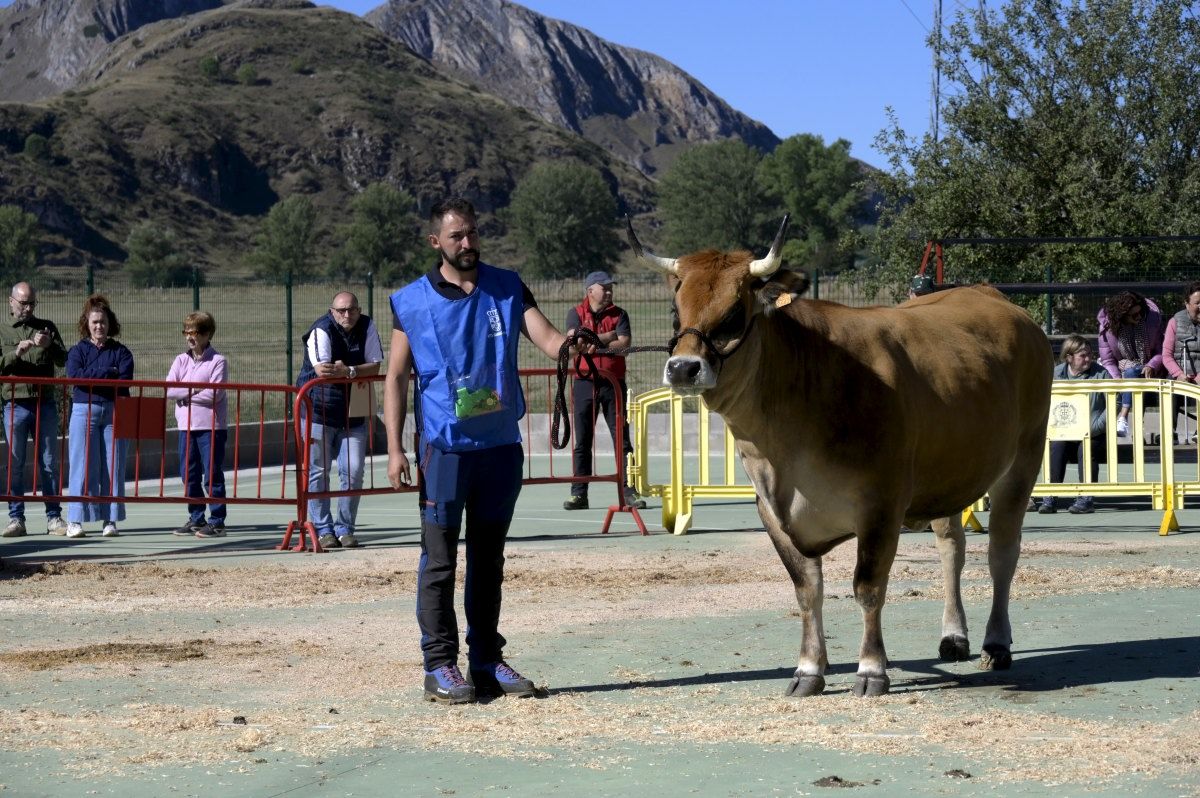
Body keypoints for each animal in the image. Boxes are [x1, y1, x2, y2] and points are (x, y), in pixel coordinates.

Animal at [628, 214, 1051, 696]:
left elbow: (868, 587)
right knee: (952, 547)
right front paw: (808, 670)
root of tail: (988, 293)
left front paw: (870, 670)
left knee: (1002, 553)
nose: (683, 368)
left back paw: (996, 644)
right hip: (950, 472)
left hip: (1023, 460)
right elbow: (806, 588)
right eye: (675, 311)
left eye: (734, 313)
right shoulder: (772, 509)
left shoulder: (881, 504)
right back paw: (954, 636)